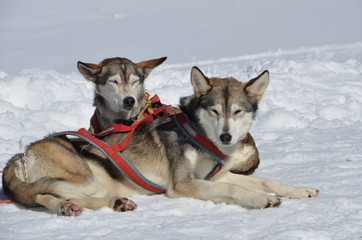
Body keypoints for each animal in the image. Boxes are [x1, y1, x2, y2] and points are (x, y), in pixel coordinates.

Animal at [1, 67, 318, 216]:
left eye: (237, 111)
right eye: (215, 111)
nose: (226, 136)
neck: (197, 134)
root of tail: (20, 155)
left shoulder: (213, 177)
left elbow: (265, 181)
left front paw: (298, 190)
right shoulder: (185, 184)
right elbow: (235, 189)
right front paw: (261, 200)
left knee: (53, 197)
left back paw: (110, 203)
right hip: (82, 175)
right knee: (46, 195)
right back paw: (88, 205)